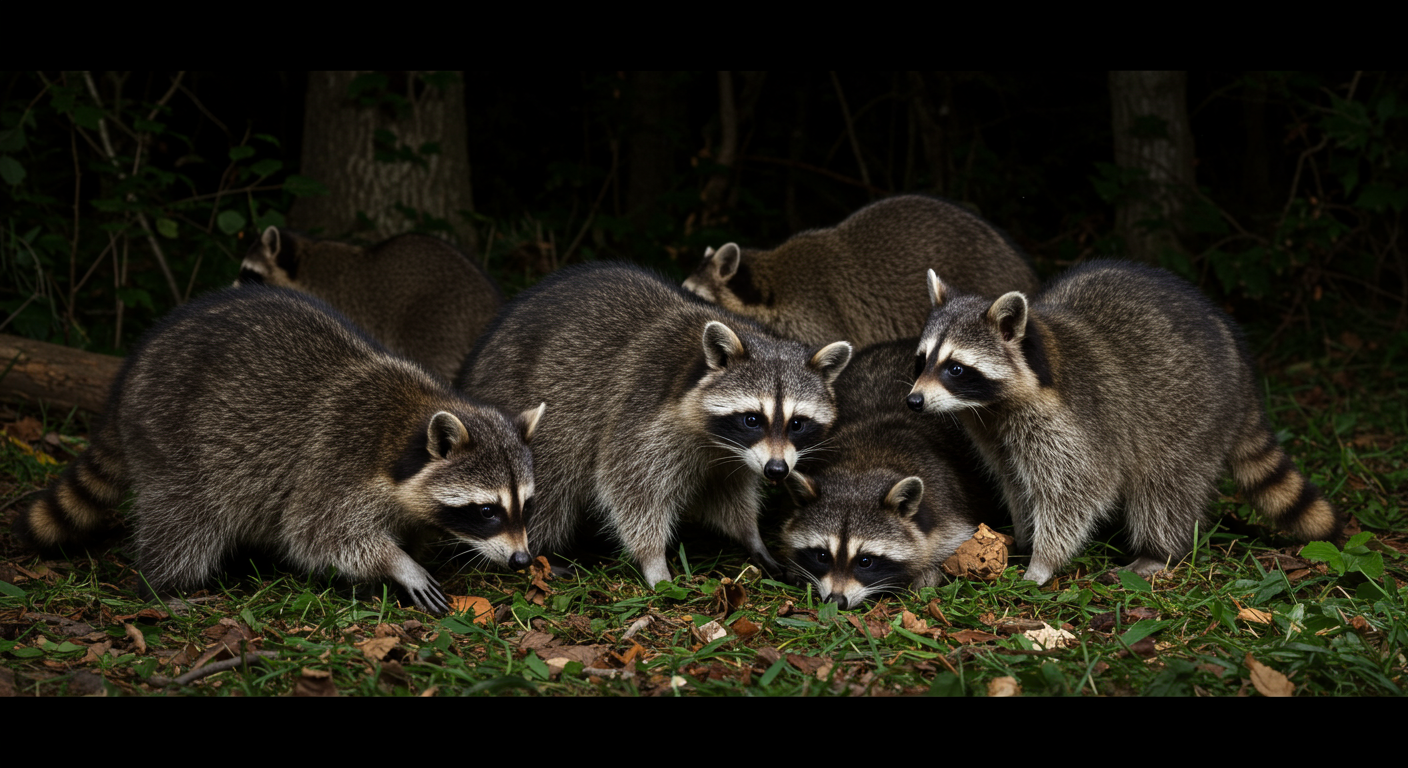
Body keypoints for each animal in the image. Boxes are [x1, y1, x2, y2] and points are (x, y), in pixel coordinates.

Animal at [14, 286, 543, 614]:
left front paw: (405, 554)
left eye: (526, 506)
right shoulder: (335, 463)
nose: (522, 561)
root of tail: (133, 371)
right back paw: (164, 586)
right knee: (183, 519)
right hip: (173, 434)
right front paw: (398, 565)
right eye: (487, 511)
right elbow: (317, 534)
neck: (405, 430)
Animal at [457, 263, 852, 587]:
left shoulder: (731, 458)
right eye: (753, 419)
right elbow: (630, 488)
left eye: (798, 423)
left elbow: (729, 493)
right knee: (553, 483)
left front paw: (752, 537)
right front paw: (653, 559)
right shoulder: (641, 415)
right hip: (534, 414)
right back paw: (534, 554)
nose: (777, 471)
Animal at [782, 339, 1001, 608]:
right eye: (822, 556)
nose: (837, 601)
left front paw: (927, 573)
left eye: (865, 561)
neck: (862, 466)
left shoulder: (947, 513)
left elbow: (955, 548)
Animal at [907, 260, 1343, 585]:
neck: (995, 404)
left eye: (956, 368)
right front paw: (1022, 534)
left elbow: (1077, 489)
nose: (914, 401)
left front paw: (1044, 560)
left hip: (1189, 411)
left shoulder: (1074, 421)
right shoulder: (992, 430)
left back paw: (1158, 552)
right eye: (922, 361)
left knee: (1165, 488)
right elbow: (1015, 482)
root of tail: (1242, 370)